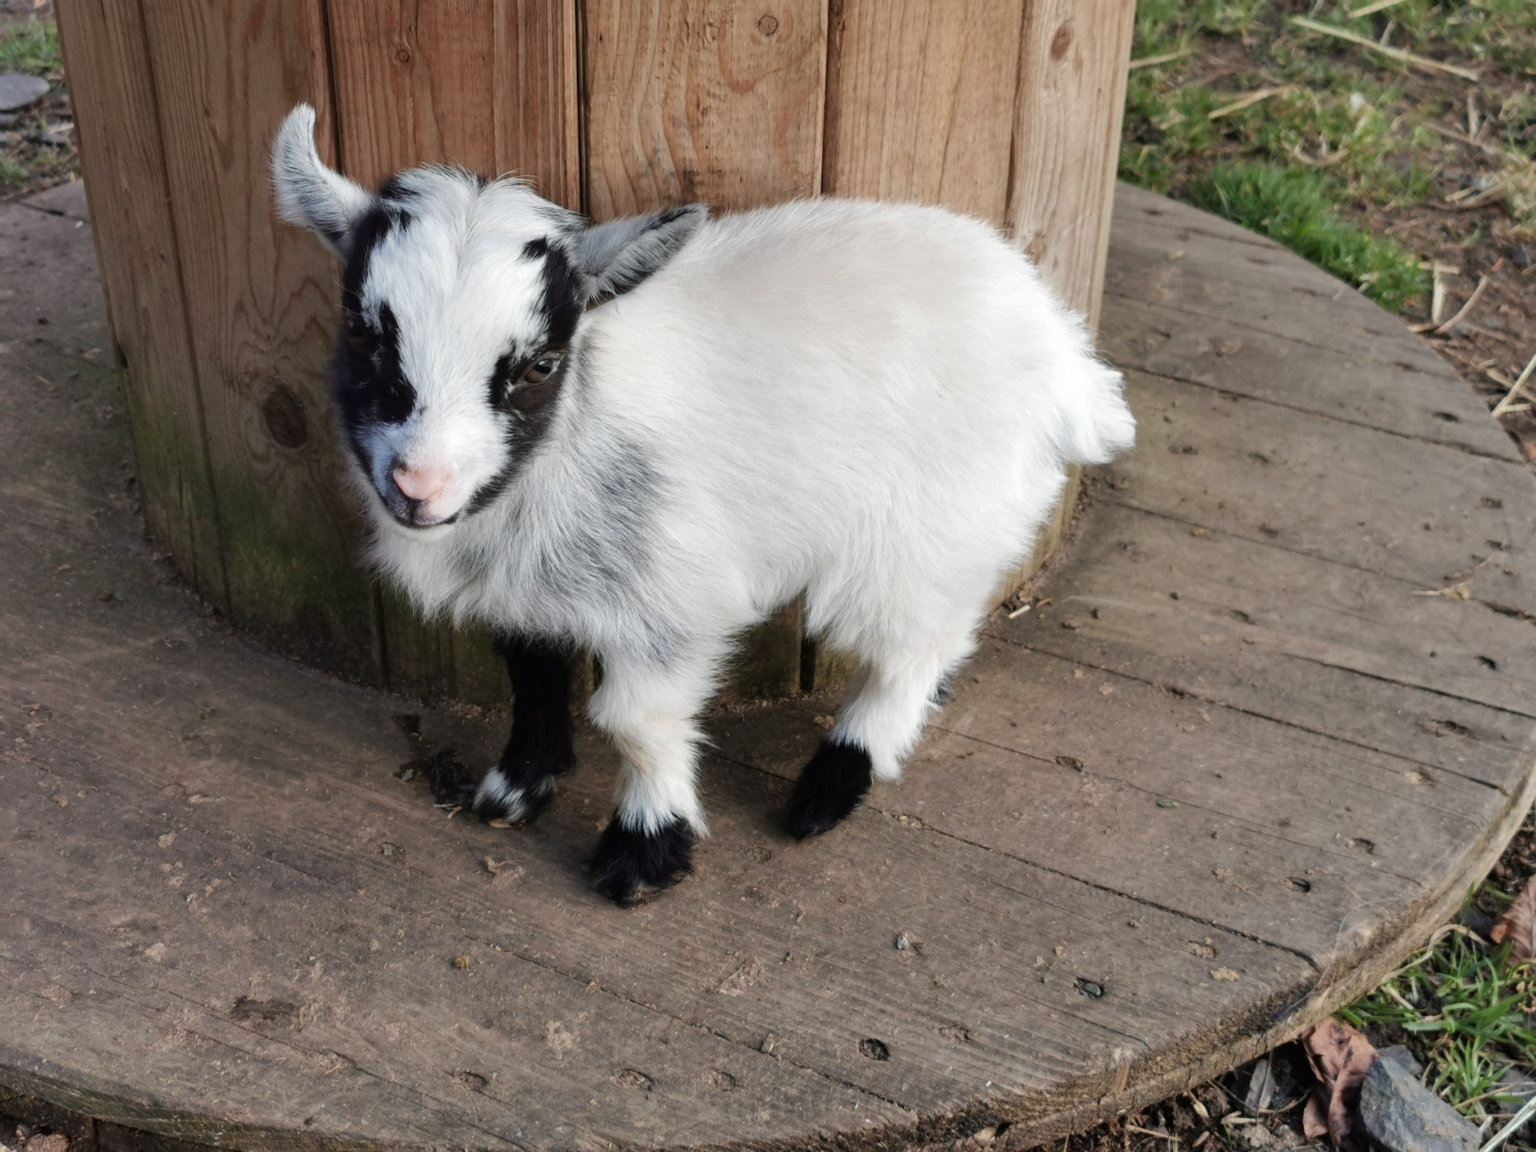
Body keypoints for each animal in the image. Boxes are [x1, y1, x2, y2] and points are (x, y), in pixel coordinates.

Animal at [271, 103, 1135, 905]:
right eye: (364, 334)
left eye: (540, 364)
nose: (420, 486)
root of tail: (1070, 363)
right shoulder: (526, 589)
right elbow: (533, 672)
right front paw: (517, 788)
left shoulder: (674, 601)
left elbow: (634, 720)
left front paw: (643, 853)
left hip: (928, 532)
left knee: (909, 649)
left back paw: (829, 790)